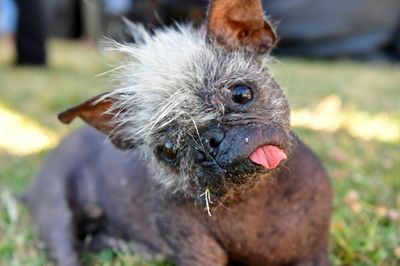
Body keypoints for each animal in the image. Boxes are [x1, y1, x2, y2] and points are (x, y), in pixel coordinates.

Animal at [24, 1, 332, 264]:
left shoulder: (315, 254)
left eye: (241, 94)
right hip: (55, 211)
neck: (253, 198)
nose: (209, 142)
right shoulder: (196, 252)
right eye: (168, 151)